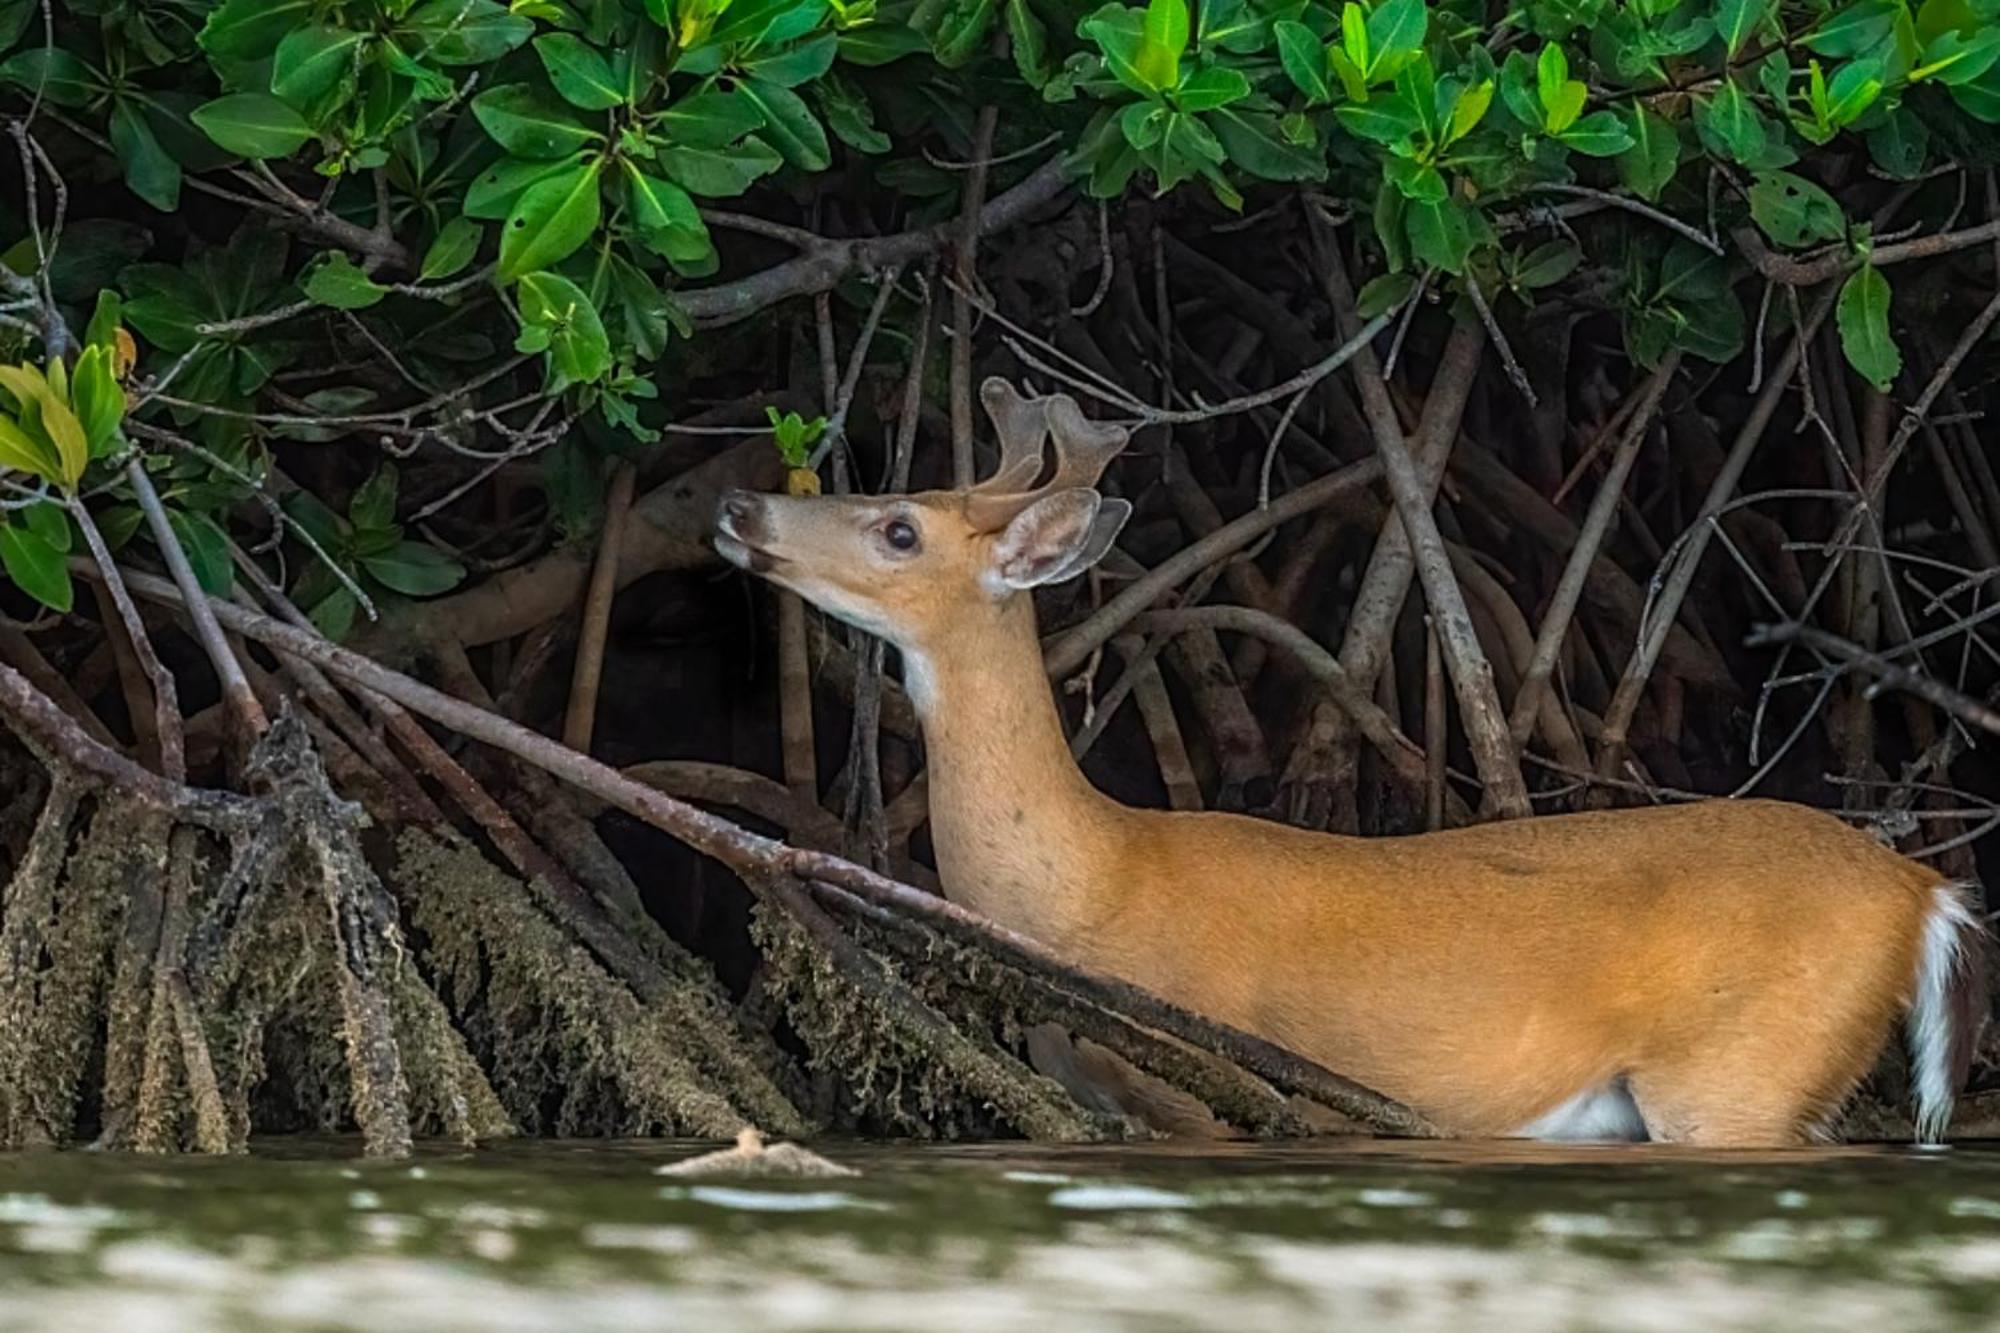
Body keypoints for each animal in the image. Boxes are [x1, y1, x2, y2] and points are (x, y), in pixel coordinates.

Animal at [716, 374, 1984, 1144]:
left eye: (898, 528)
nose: (737, 508)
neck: (1090, 883)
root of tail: (1919, 887)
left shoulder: (1204, 1088)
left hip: (1739, 1066)